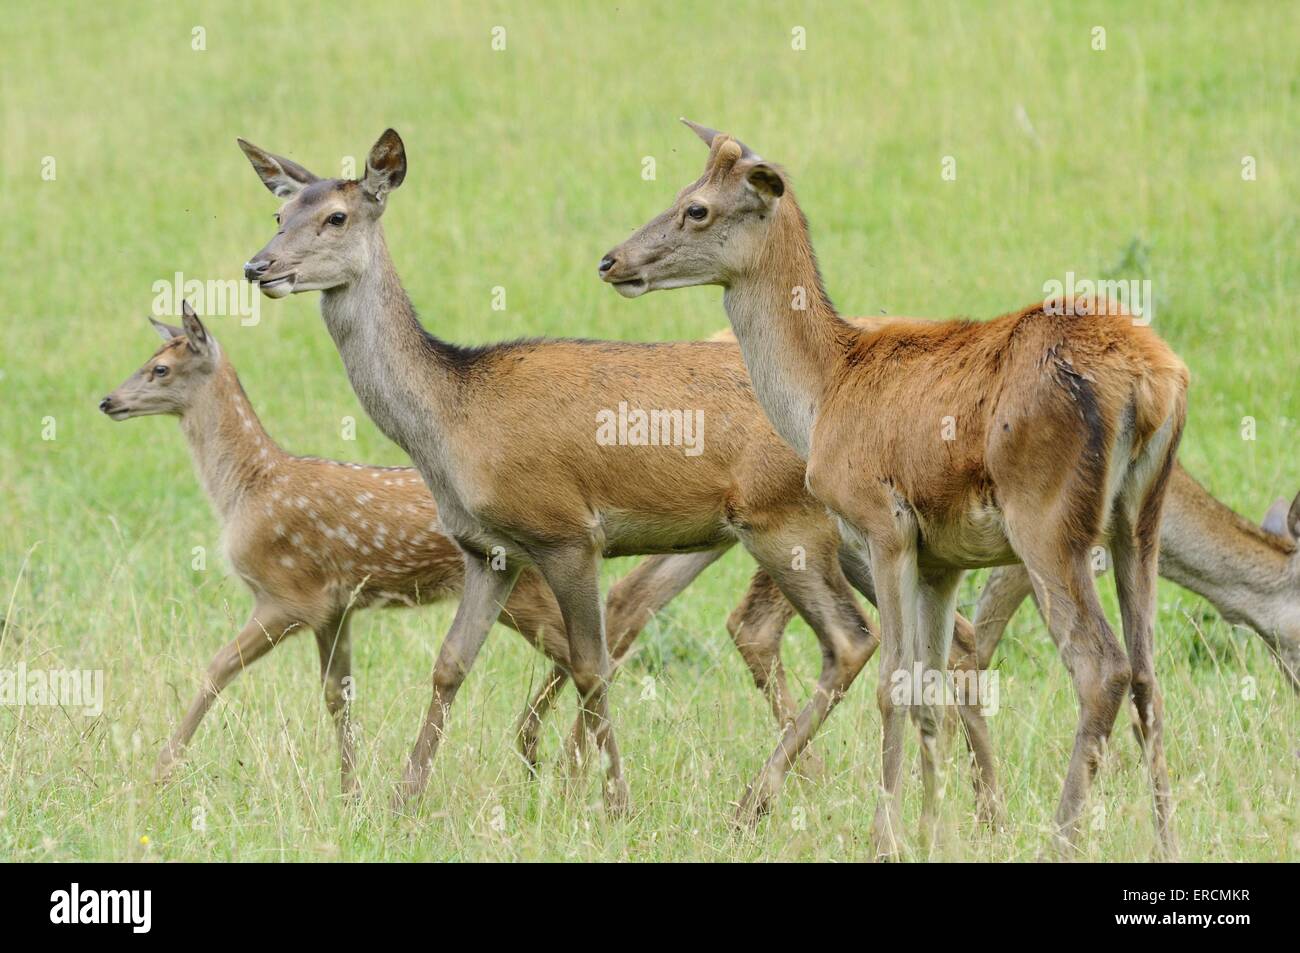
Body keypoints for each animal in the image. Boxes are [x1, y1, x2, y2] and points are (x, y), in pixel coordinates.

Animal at [598, 118, 1190, 852]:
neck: (823, 391)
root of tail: (1154, 381)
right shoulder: (941, 559)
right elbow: (930, 688)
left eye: (697, 208)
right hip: (1141, 522)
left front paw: (887, 837)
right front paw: (937, 833)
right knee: (1149, 677)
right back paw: (1168, 840)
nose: (612, 261)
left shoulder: (883, 526)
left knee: (1100, 667)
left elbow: (892, 683)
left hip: (1049, 526)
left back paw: (1062, 837)